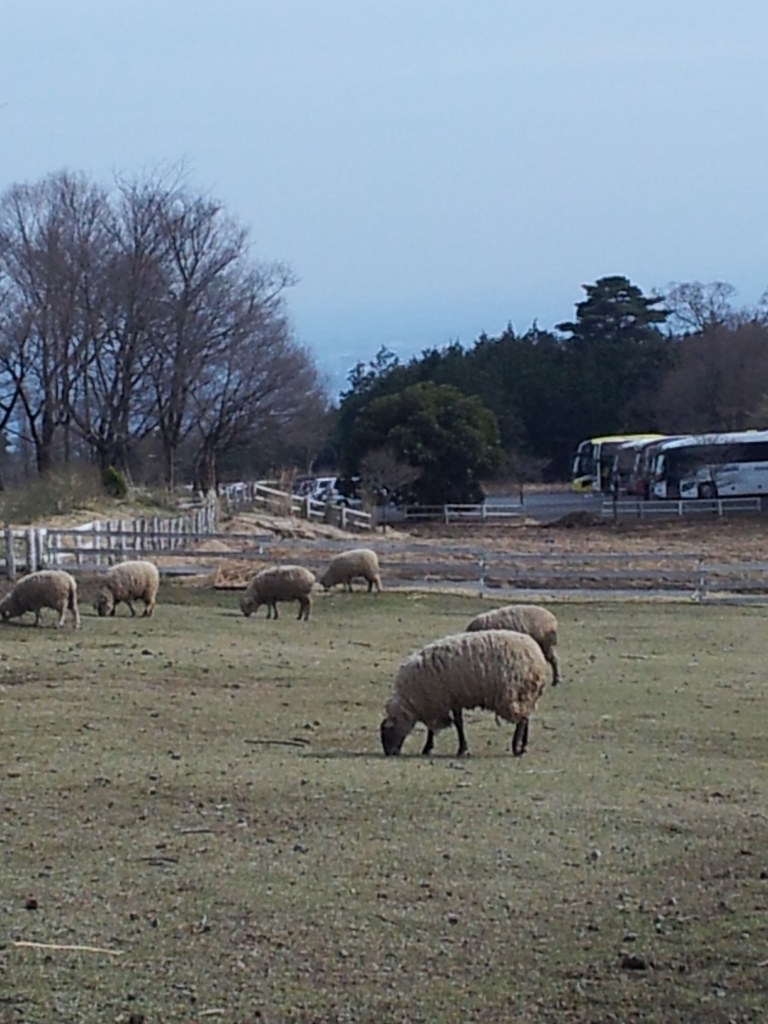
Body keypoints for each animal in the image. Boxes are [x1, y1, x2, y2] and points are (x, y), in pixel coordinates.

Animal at [382, 626, 548, 757]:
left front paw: (459, 749)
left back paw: (516, 748)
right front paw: (431, 748)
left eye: (387, 732)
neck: (412, 698)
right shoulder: (448, 700)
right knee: (526, 717)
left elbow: (453, 725)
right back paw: (523, 746)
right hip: (524, 694)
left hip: (514, 693)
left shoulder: (440, 700)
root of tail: (537, 654)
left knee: (522, 719)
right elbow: (448, 725)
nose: (390, 753)